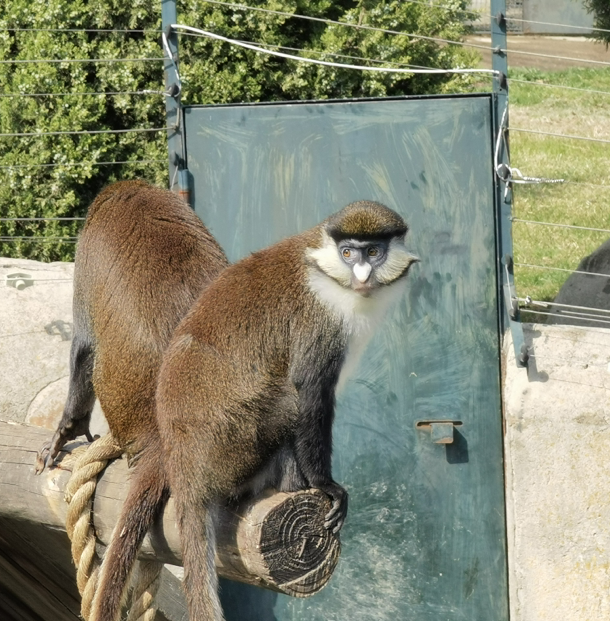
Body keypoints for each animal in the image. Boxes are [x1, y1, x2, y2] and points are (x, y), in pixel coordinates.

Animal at [90, 201, 416, 616]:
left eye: (373, 252)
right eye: (348, 253)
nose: (362, 273)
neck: (327, 274)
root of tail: (184, 466)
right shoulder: (319, 329)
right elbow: (309, 394)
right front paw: (327, 486)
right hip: (236, 444)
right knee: (289, 401)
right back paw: (294, 483)